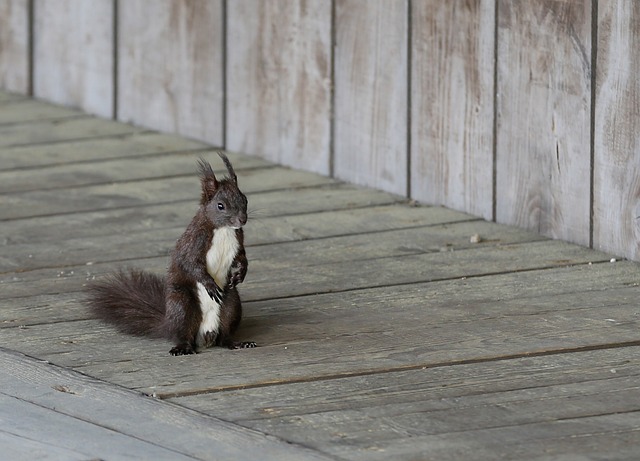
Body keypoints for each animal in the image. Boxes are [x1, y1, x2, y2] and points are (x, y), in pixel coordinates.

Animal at [86, 153, 256, 354]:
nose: (242, 220)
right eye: (220, 205)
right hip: (181, 304)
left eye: (245, 199)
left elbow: (241, 257)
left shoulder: (238, 242)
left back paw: (237, 343)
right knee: (184, 333)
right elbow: (191, 264)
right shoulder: (193, 243)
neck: (224, 229)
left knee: (225, 336)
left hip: (231, 302)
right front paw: (210, 284)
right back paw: (183, 347)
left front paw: (240, 273)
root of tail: (206, 334)